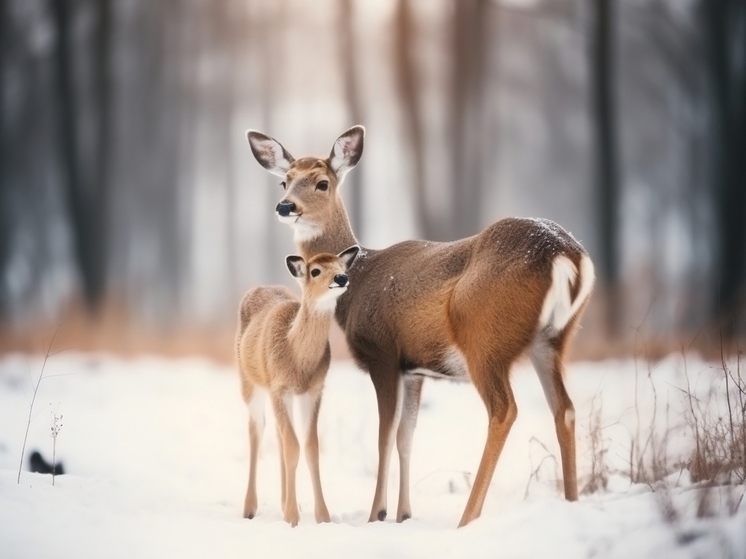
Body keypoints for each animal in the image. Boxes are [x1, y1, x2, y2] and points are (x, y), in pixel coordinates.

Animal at [244, 127, 592, 528]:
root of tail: (565, 255)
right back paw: (570, 503)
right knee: (565, 409)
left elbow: (384, 434)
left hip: (485, 339)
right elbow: (405, 436)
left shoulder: (382, 353)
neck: (360, 276)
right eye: (284, 180)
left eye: (322, 182)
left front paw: (377, 513)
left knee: (504, 410)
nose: (285, 206)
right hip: (552, 340)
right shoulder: (414, 369)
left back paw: (467, 518)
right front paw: (403, 514)